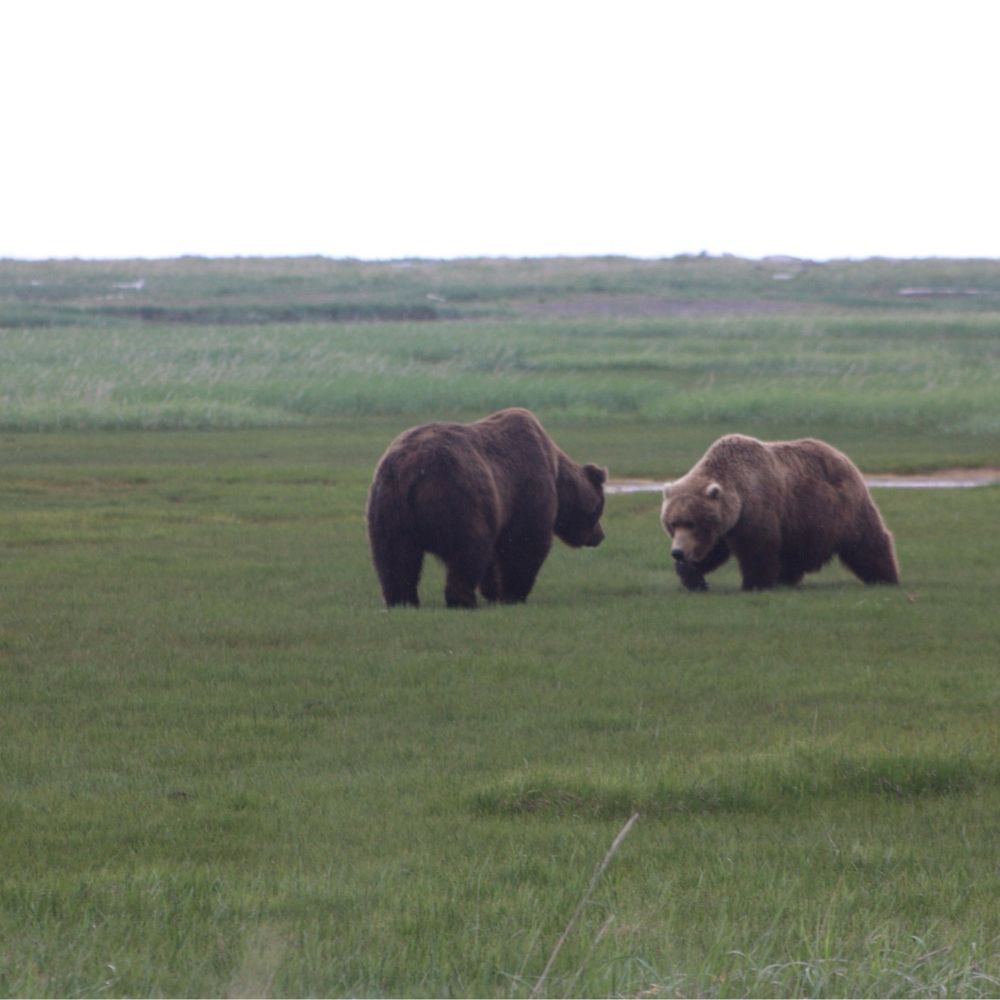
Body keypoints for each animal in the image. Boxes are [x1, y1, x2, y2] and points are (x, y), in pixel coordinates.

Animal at [367, 407, 607, 608]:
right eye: (599, 509)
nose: (600, 536)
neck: (556, 474)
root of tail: (411, 470)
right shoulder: (527, 487)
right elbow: (525, 543)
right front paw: (513, 594)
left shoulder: (498, 510)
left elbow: (495, 556)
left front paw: (494, 592)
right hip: (457, 497)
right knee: (466, 551)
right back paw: (463, 600)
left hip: (389, 506)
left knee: (395, 556)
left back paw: (401, 600)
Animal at [660, 434, 899, 591]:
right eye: (673, 523)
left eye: (691, 523)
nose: (677, 552)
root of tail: (841, 455)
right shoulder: (725, 526)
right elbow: (712, 550)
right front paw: (694, 578)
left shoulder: (756, 507)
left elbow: (757, 548)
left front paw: (754, 584)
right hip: (801, 521)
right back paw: (787, 579)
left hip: (841, 507)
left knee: (866, 541)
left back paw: (885, 577)